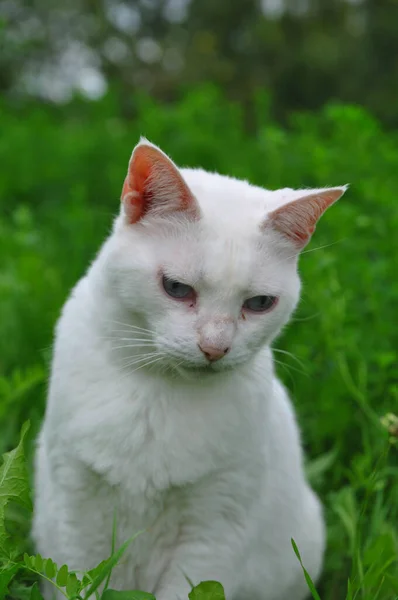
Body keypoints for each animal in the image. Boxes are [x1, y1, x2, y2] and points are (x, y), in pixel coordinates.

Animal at [33, 139, 346, 600]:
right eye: (177, 289)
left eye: (259, 303)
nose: (215, 347)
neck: (157, 394)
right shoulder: (75, 508)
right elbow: (79, 580)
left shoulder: (215, 527)